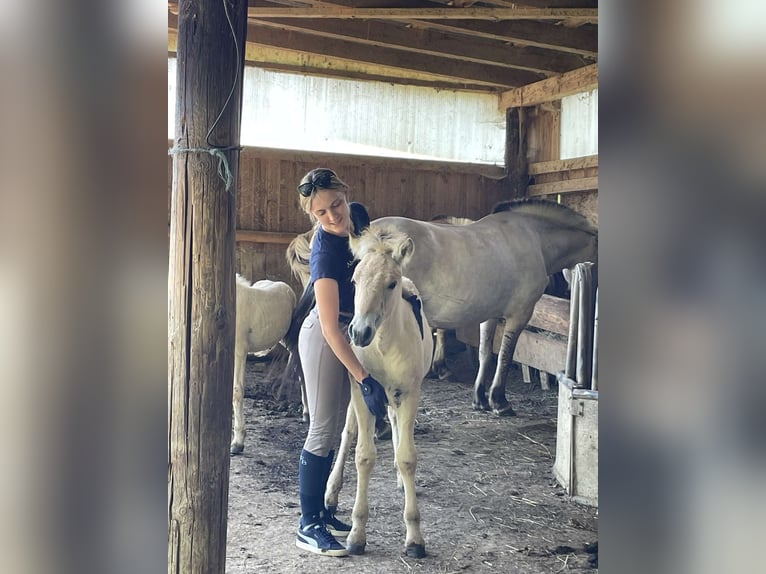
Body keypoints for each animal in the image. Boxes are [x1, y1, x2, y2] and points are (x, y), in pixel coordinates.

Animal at [328, 228, 438, 560]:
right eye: (354, 281)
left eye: (391, 283)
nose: (359, 332)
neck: (384, 346)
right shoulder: (364, 393)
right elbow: (363, 455)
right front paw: (357, 535)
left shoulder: (410, 393)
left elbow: (407, 458)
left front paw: (414, 538)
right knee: (348, 433)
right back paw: (330, 494)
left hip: (398, 396)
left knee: (396, 426)